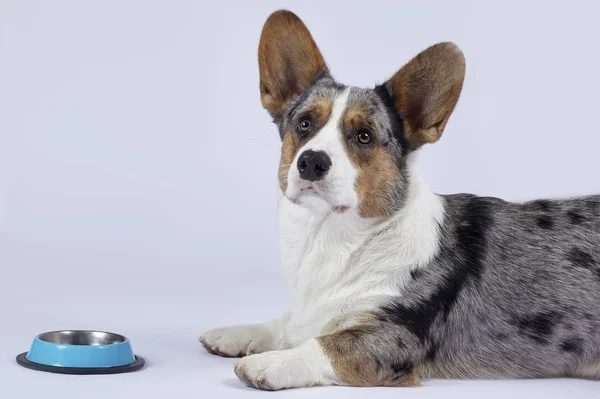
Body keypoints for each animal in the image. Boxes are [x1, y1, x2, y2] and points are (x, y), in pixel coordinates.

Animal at [200, 8, 600, 390]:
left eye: (364, 136)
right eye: (304, 124)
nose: (311, 162)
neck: (330, 237)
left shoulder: (392, 337)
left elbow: (325, 344)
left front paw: (268, 363)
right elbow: (286, 324)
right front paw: (239, 334)